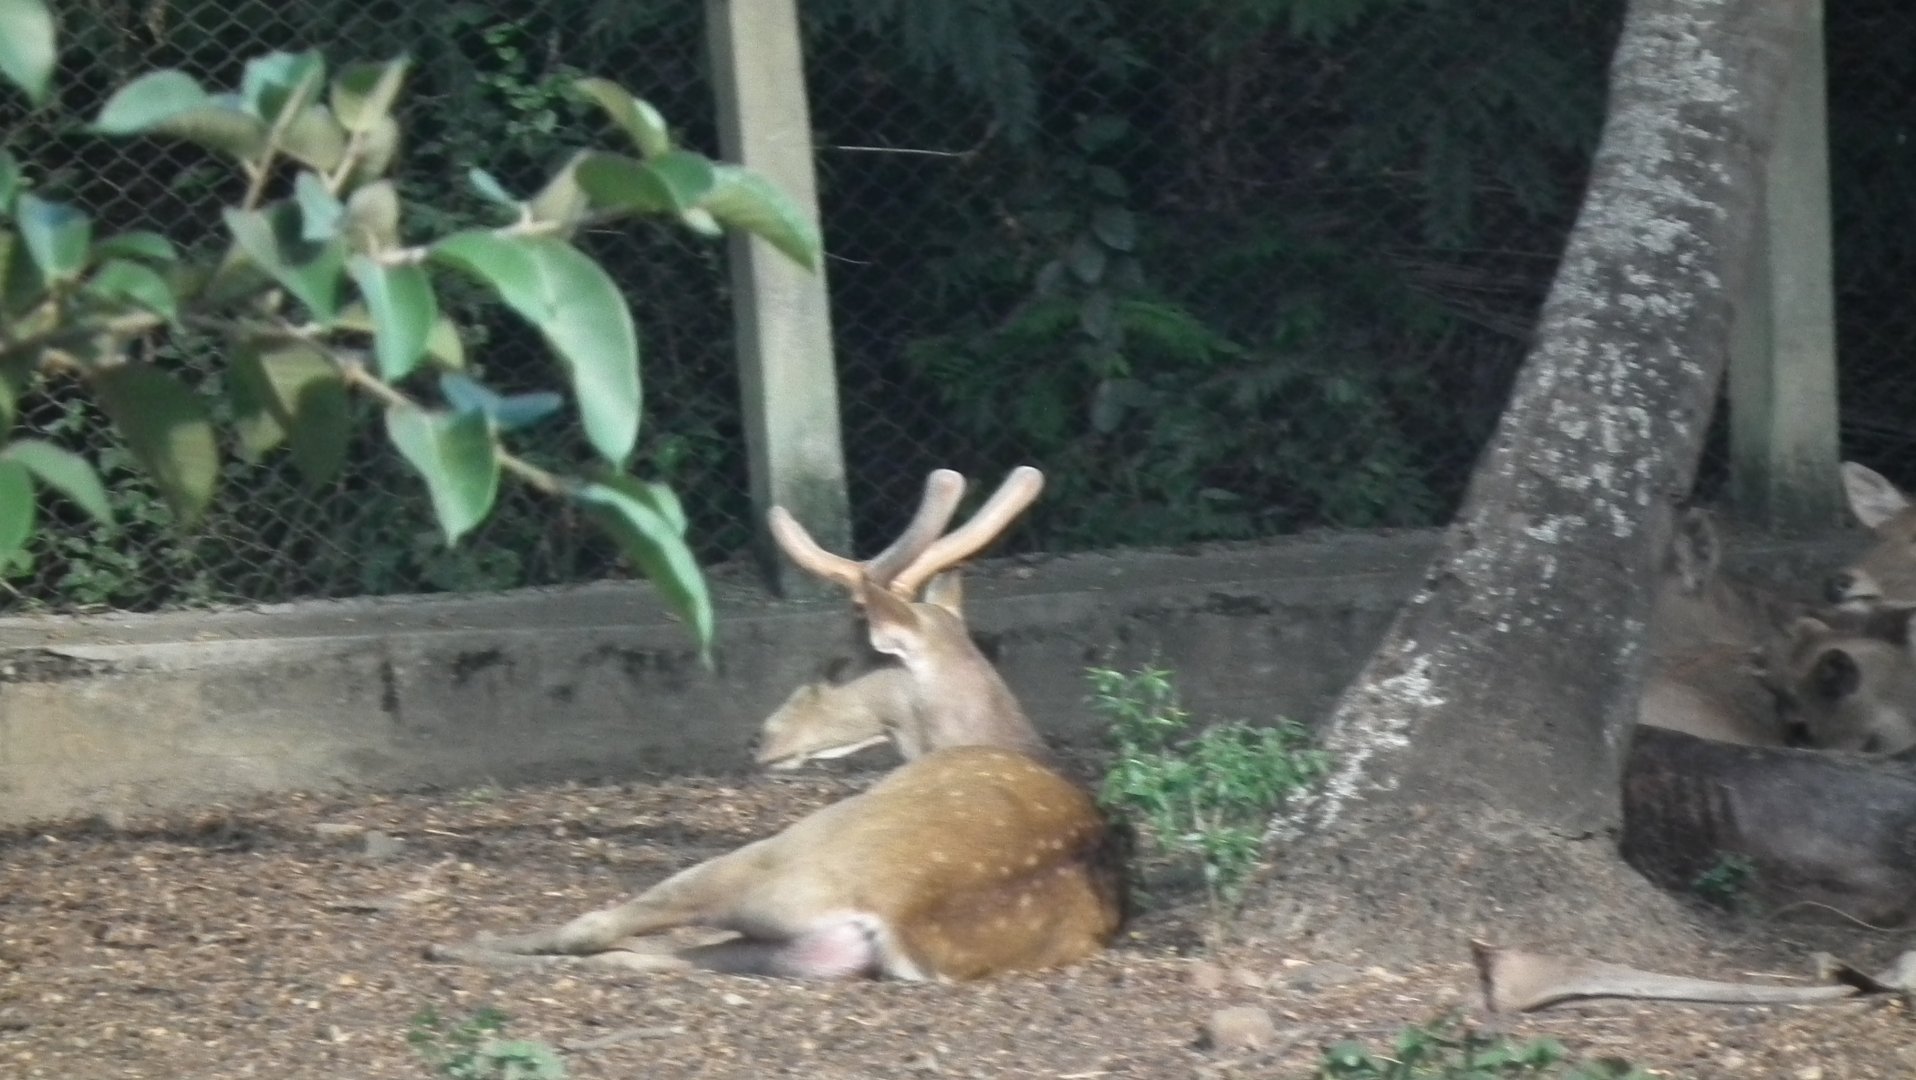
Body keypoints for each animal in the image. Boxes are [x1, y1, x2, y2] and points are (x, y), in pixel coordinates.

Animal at [426, 466, 1128, 981]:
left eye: (835, 660)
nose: (761, 738)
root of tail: (896, 916)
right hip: (803, 951)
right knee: (645, 955)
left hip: (765, 864)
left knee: (603, 928)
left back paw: (457, 945)